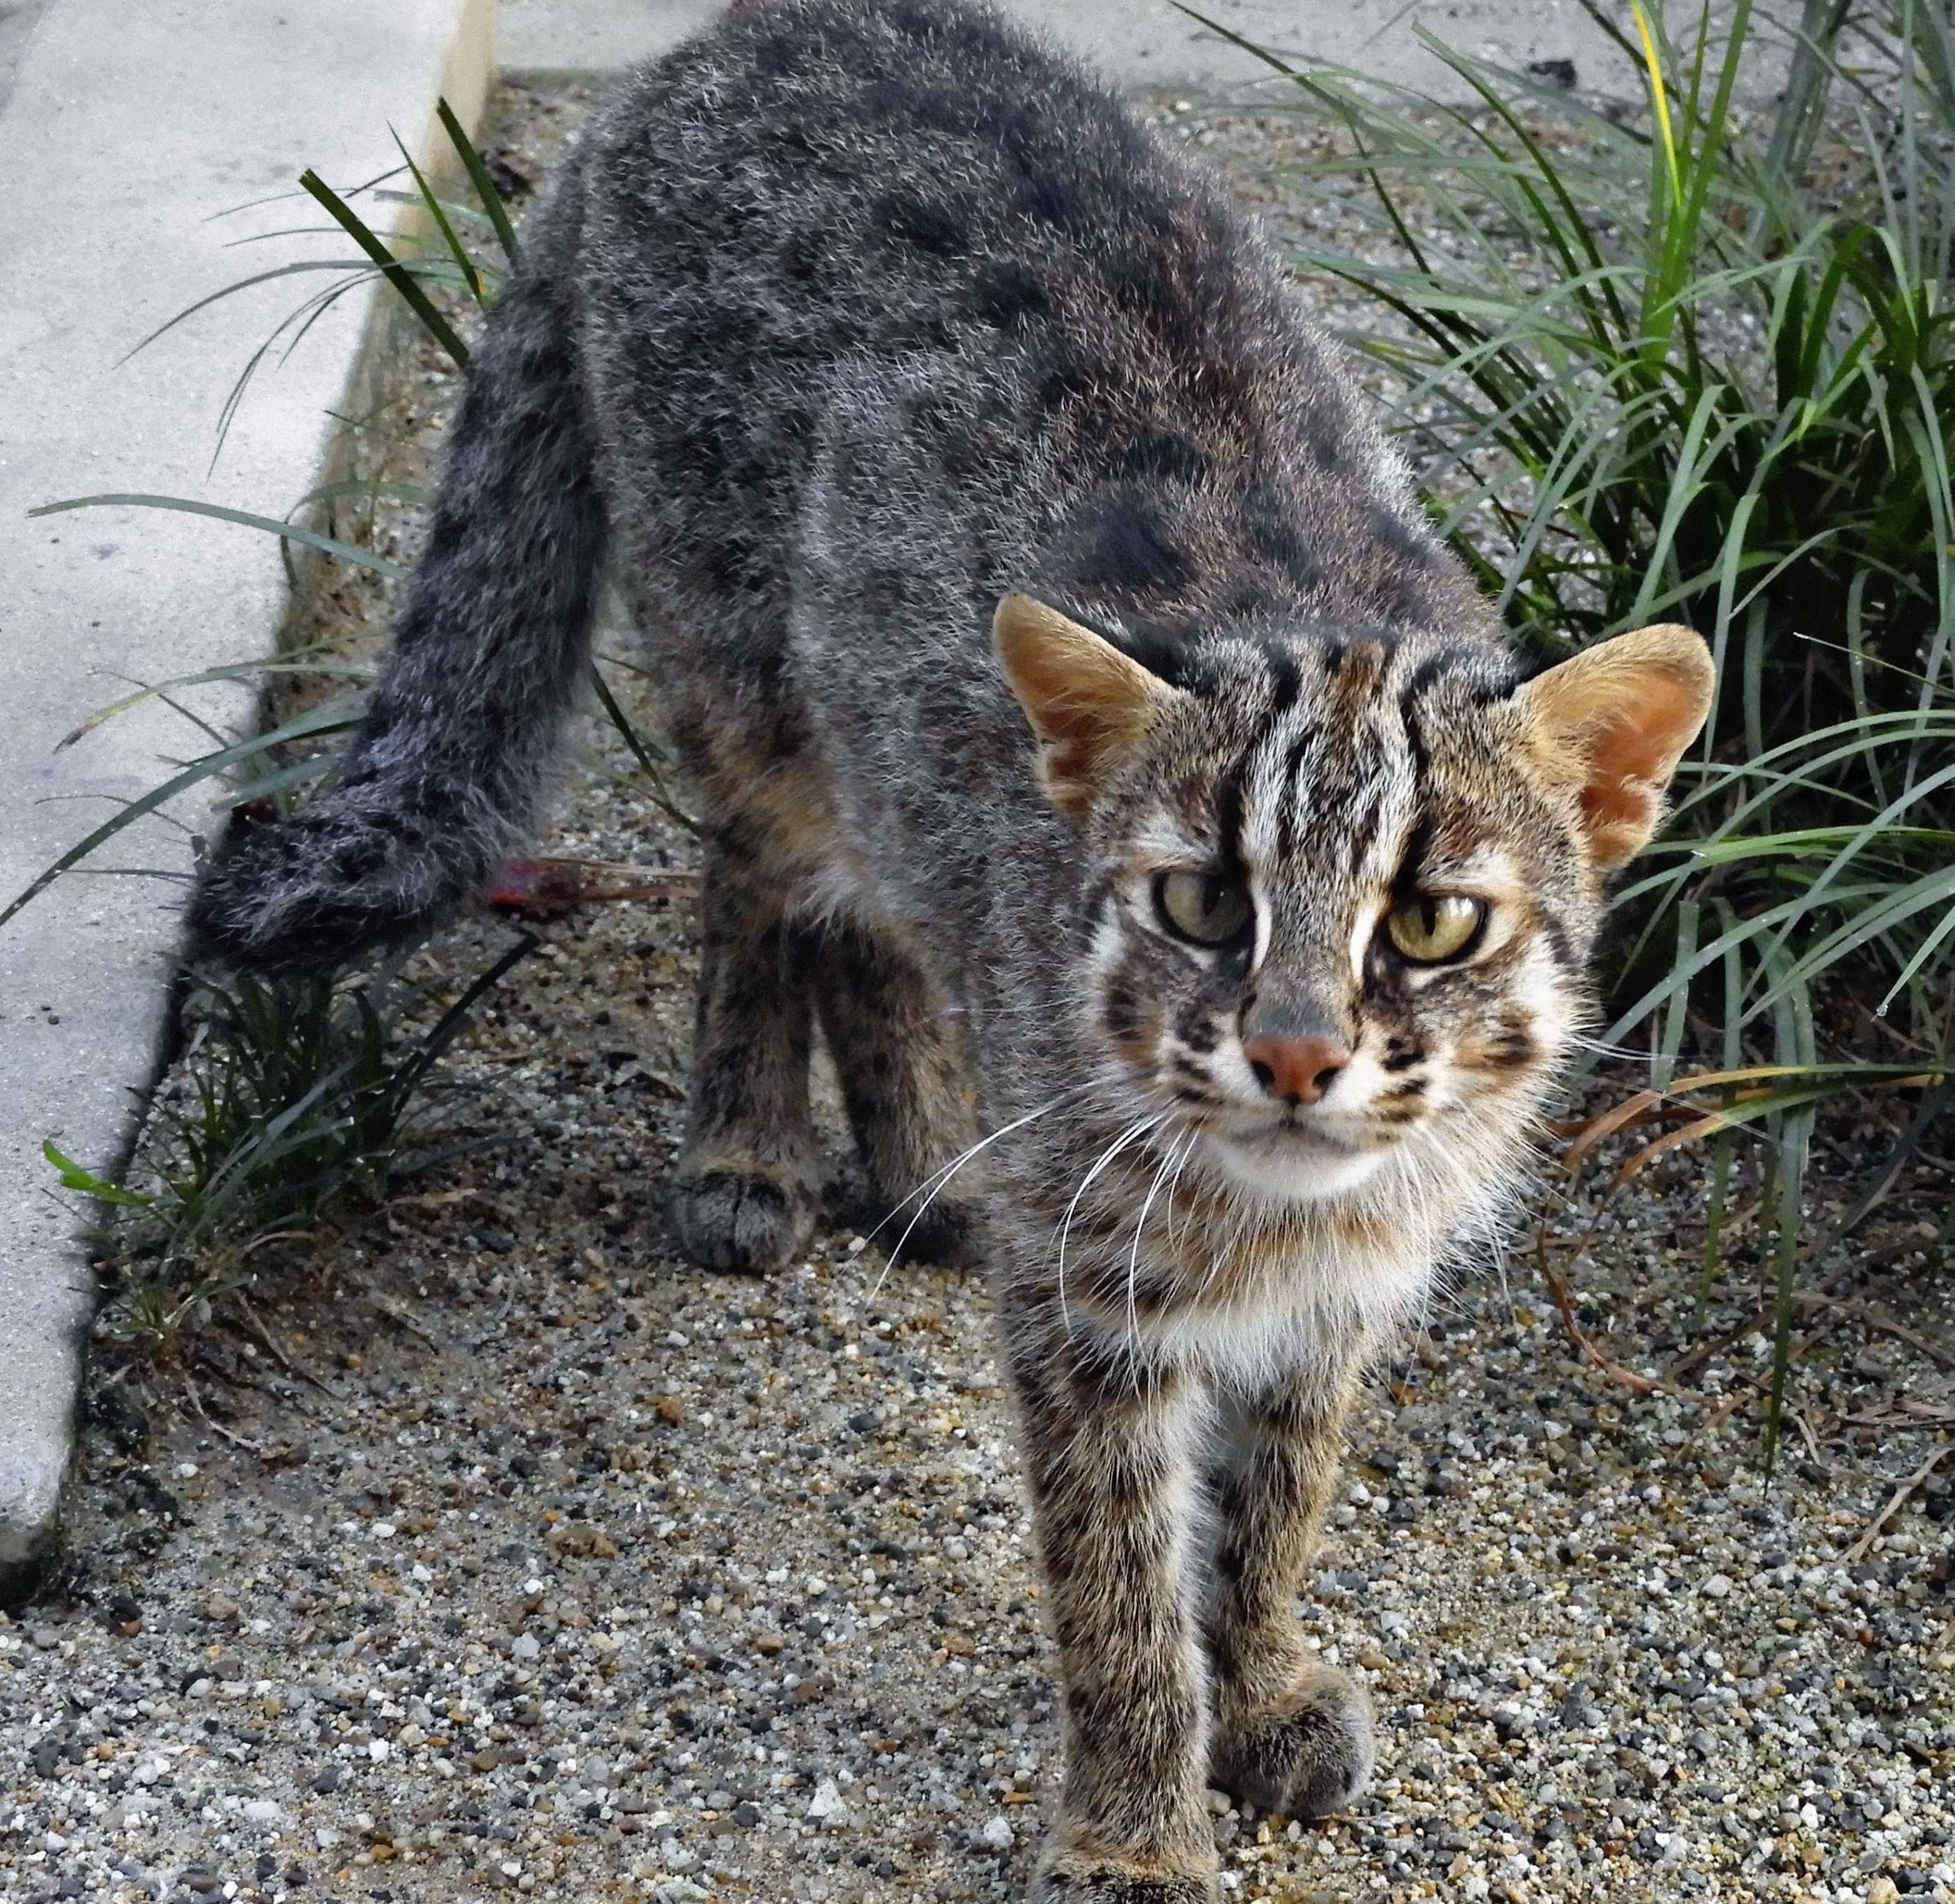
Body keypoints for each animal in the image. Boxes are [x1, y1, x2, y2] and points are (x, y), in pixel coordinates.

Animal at [183, 7, 1713, 1900]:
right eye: (1199, 904)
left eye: (1429, 920)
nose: (1292, 1050)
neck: (1274, 1213)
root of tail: (705, 52)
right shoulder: (1087, 1300)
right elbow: (1115, 1580)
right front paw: (1137, 1826)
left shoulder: (1339, 1299)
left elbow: (1276, 1502)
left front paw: (1263, 1677)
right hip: (757, 677)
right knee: (767, 883)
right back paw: (753, 1142)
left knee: (881, 921)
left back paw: (919, 1155)